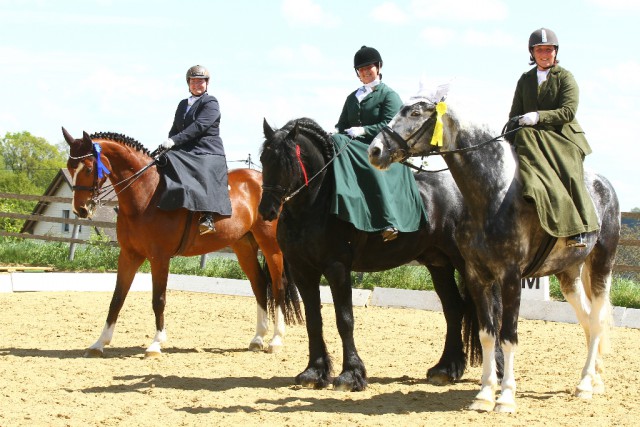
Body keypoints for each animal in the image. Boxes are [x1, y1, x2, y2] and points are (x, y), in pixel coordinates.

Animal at [61, 128, 302, 358]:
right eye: (70, 168)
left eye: (88, 169)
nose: (81, 209)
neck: (147, 193)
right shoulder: (129, 255)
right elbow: (117, 298)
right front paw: (99, 343)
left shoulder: (159, 257)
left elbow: (158, 299)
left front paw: (156, 344)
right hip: (244, 246)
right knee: (259, 284)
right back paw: (258, 338)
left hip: (271, 246)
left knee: (278, 287)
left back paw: (275, 340)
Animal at [258, 117, 488, 392]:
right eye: (263, 158)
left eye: (290, 161)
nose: (267, 211)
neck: (313, 206)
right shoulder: (303, 271)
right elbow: (314, 321)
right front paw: (314, 372)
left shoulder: (337, 268)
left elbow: (344, 319)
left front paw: (350, 375)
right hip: (439, 264)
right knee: (454, 309)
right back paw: (446, 369)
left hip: (463, 263)